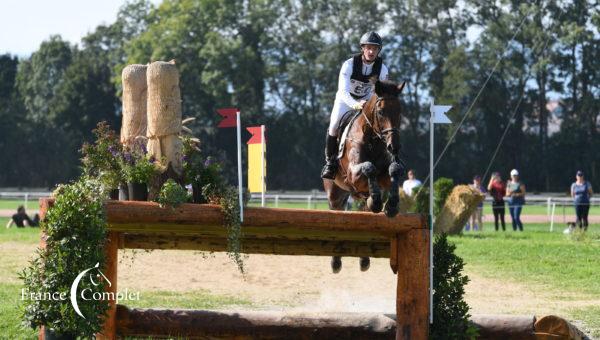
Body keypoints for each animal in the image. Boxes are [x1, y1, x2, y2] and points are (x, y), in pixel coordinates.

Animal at [326, 78, 406, 272]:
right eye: (381, 111)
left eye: (399, 112)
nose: (394, 147)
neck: (372, 139)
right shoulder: (353, 174)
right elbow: (369, 167)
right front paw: (378, 202)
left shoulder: (384, 175)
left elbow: (394, 170)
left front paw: (391, 205)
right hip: (335, 193)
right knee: (336, 212)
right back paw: (336, 262)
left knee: (364, 209)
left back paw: (364, 259)